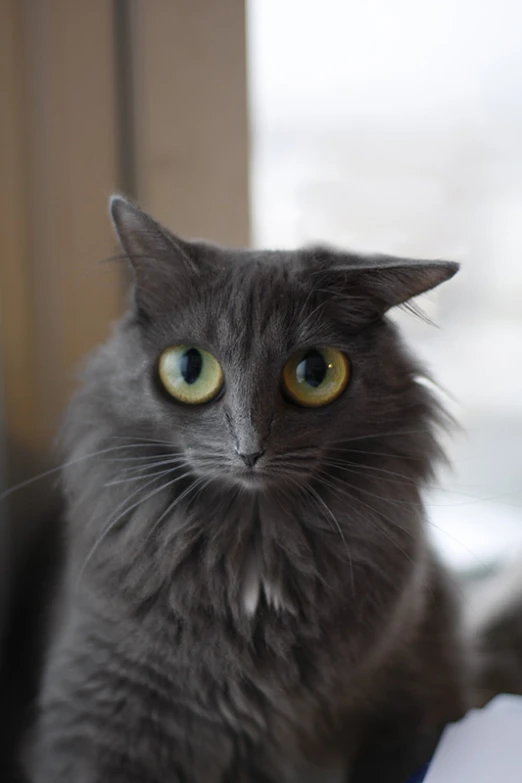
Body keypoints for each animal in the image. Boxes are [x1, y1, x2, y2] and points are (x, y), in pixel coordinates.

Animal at [23, 199, 468, 780]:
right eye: (190, 367)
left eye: (316, 371)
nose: (249, 448)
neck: (254, 553)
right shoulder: (99, 718)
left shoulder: (414, 705)